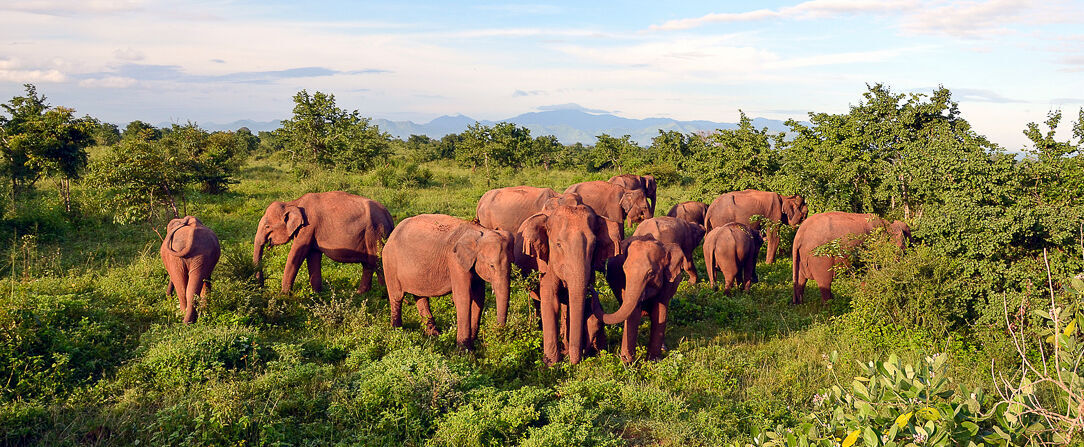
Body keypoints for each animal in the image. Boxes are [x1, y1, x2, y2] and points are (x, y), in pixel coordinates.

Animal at [252, 190, 394, 292]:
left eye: (267, 226)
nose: (262, 287)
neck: (294, 203)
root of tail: (390, 218)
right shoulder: (312, 231)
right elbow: (313, 256)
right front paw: (317, 293)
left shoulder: (308, 228)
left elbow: (296, 254)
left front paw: (284, 295)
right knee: (368, 265)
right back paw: (361, 294)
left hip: (375, 232)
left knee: (378, 263)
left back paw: (382, 295)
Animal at [383, 212, 513, 349]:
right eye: (491, 266)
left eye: (511, 263)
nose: (498, 335)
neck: (480, 231)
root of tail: (393, 232)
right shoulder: (455, 262)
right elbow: (463, 298)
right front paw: (465, 350)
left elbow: (479, 297)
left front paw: (473, 343)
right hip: (390, 263)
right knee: (397, 297)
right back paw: (398, 331)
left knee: (420, 297)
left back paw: (433, 335)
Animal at [520, 203, 624, 364]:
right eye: (558, 245)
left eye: (594, 245)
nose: (576, 360)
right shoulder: (546, 263)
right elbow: (551, 301)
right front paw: (551, 363)